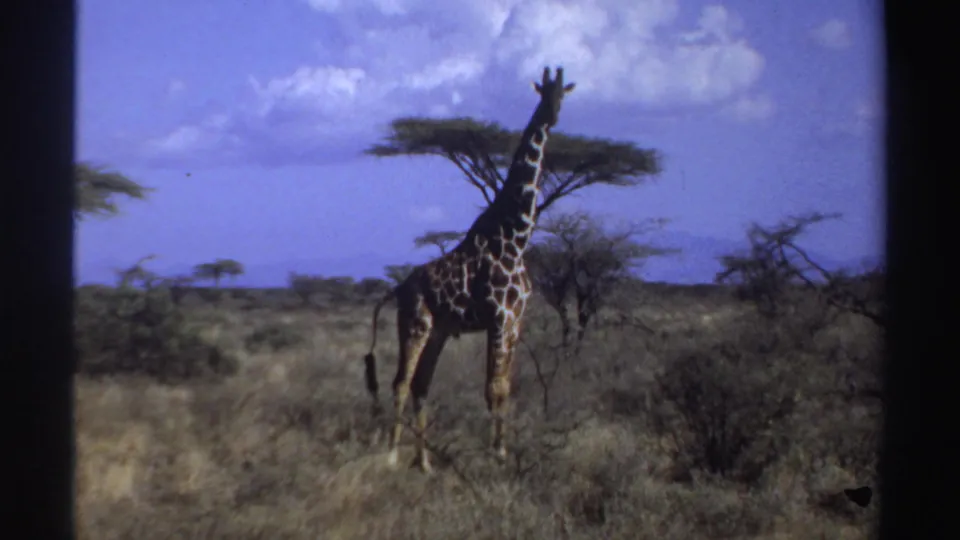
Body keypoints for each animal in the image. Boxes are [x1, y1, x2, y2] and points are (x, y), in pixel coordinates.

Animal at [363, 66, 576, 472]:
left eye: (563, 94)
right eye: (543, 92)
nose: (553, 116)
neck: (516, 236)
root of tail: (398, 288)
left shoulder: (515, 321)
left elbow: (505, 389)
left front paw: (503, 451)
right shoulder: (497, 317)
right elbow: (491, 388)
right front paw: (495, 455)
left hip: (439, 331)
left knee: (421, 385)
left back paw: (425, 463)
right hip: (415, 324)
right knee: (401, 382)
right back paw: (393, 456)